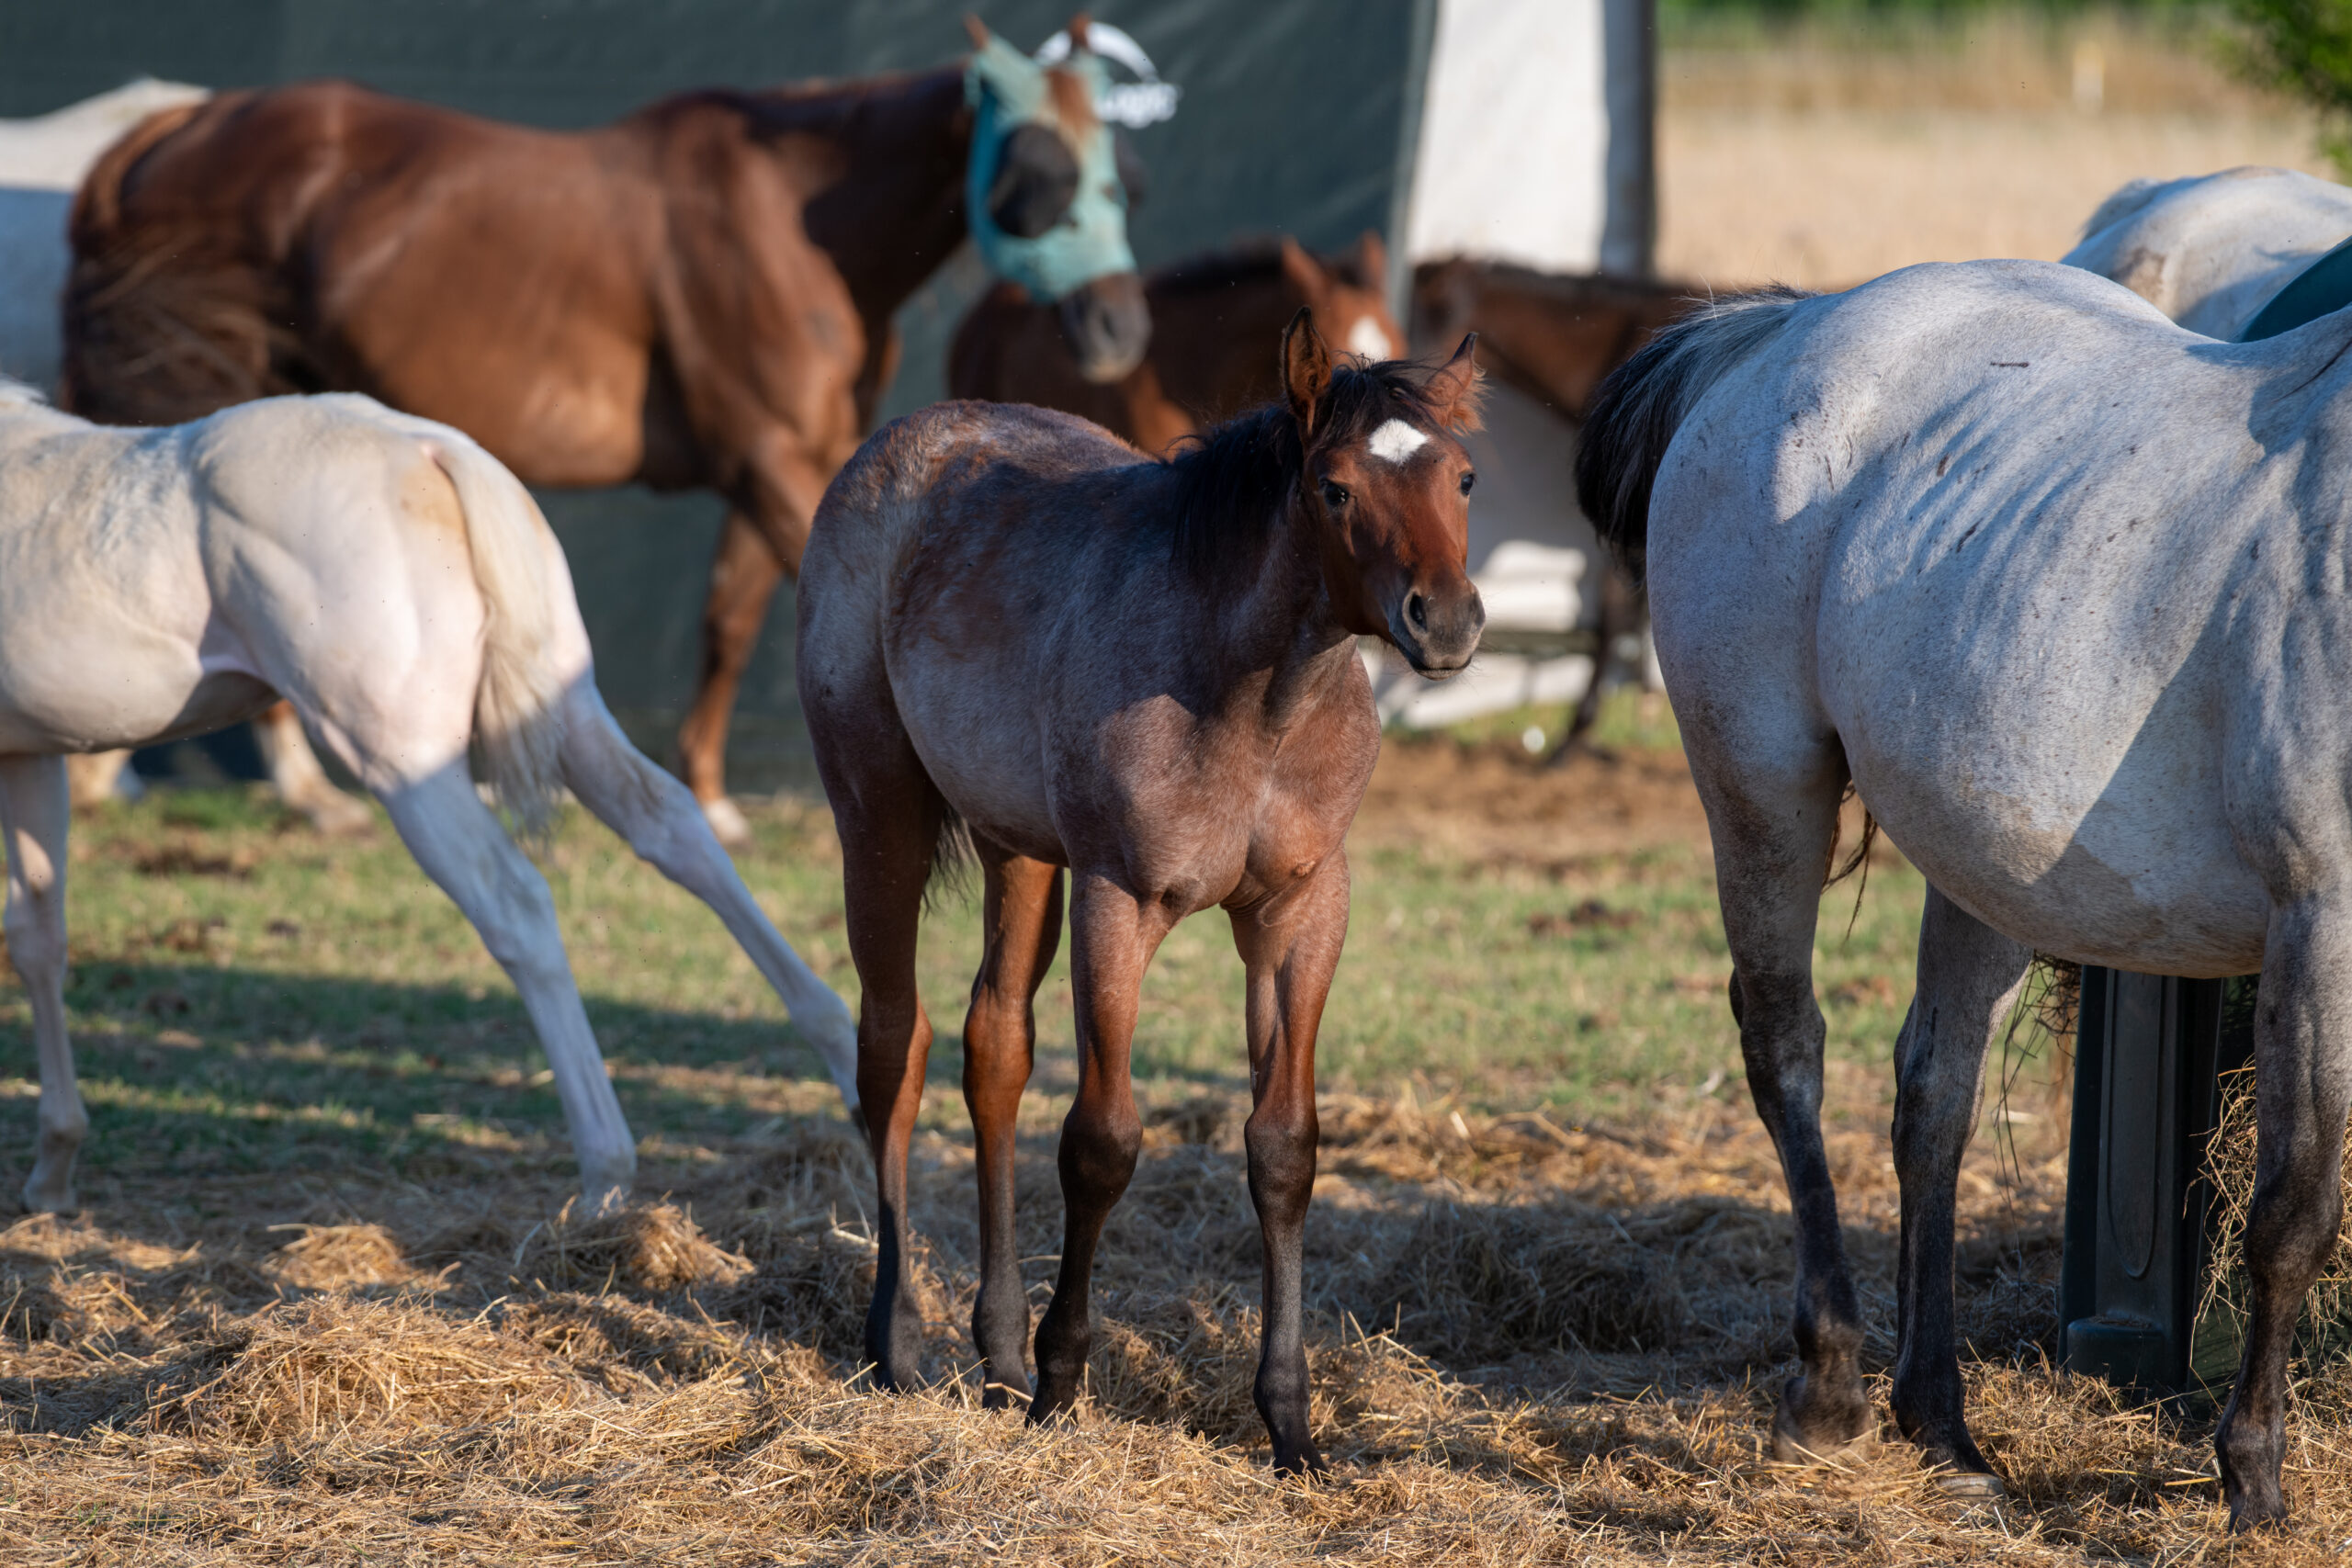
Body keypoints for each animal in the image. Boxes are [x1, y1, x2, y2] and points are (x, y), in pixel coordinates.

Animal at [0, 379, 858, 1216]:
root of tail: (430, 449)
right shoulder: (32, 756)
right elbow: (40, 937)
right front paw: (54, 1167)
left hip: (398, 757)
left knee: (514, 902)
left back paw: (605, 1176)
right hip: (571, 715)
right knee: (676, 829)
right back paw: (847, 1059)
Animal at [58, 17, 1149, 846]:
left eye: (1122, 174)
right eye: (1037, 169)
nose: (1118, 329)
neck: (789, 222)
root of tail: (158, 136)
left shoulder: (777, 463)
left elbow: (729, 618)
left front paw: (709, 796)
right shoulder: (775, 461)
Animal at [798, 314, 1484, 1469]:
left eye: (1465, 477)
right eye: (1335, 487)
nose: (1444, 622)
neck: (1254, 703)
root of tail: (892, 443)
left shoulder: (1300, 913)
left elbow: (1283, 1147)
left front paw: (1289, 1424)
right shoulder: (1118, 902)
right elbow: (1102, 1143)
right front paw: (1062, 1383)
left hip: (1021, 850)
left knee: (994, 1047)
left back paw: (995, 1349)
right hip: (879, 822)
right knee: (895, 1047)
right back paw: (898, 1344)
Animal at [1574, 257, 2352, 1530]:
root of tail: (1778, 328)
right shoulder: (2318, 921)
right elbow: (2295, 1208)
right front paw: (2253, 1481)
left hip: (1983, 863)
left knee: (1932, 1099)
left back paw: (1939, 1424)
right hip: (1760, 794)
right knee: (1785, 1045)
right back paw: (1828, 1388)